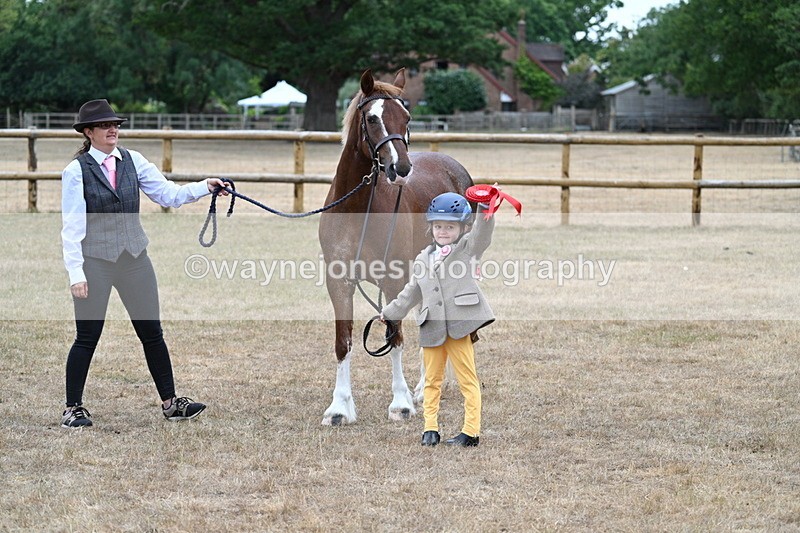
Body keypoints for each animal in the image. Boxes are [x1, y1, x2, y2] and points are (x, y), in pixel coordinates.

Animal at [318, 68, 474, 425]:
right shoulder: (339, 283)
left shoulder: (392, 281)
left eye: (406, 117)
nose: (400, 168)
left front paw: (400, 403)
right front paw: (339, 408)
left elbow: (395, 337)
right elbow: (343, 342)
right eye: (372, 118)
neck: (358, 210)